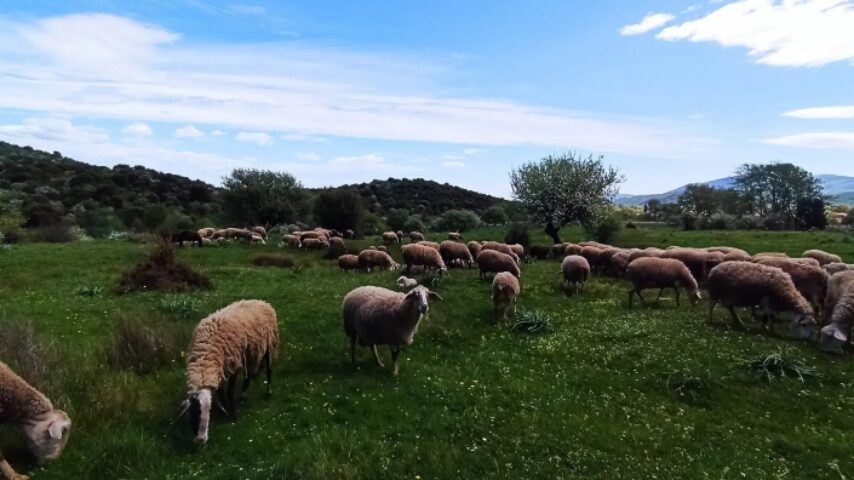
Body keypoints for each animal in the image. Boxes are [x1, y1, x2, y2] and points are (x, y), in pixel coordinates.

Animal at [181, 302, 280, 444]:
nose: (201, 440)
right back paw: (243, 394)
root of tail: (261, 302)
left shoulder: (233, 364)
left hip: (267, 343)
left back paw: (268, 392)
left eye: (208, 411)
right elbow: (221, 392)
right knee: (248, 374)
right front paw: (225, 411)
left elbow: (229, 391)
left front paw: (233, 415)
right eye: (195, 412)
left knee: (268, 370)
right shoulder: (221, 369)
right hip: (250, 352)